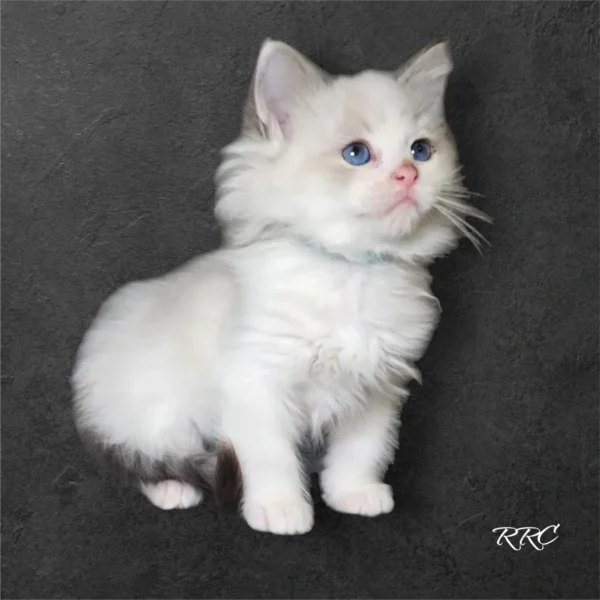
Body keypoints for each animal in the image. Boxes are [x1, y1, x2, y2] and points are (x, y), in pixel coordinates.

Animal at [71, 39, 488, 536]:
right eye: (356, 154)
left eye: (421, 150)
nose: (409, 175)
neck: (351, 271)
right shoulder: (257, 382)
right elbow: (272, 457)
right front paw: (280, 509)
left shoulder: (379, 385)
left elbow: (364, 450)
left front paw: (353, 493)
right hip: (161, 409)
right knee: (147, 457)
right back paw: (173, 489)